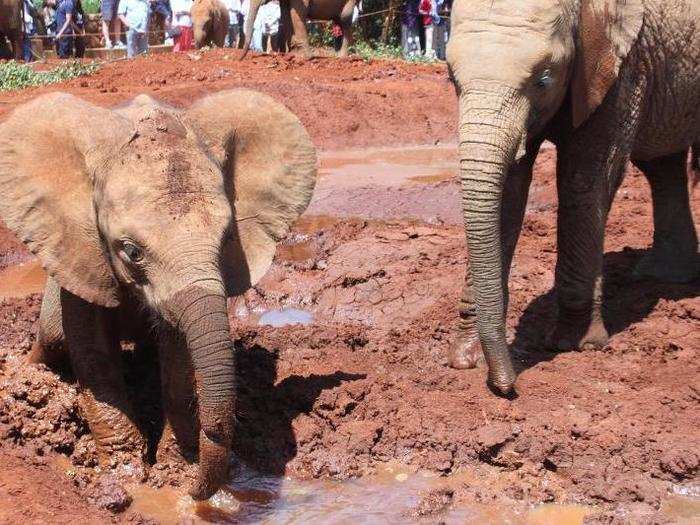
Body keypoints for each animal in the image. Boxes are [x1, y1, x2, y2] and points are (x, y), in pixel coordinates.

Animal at [0, 90, 314, 500]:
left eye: (227, 238)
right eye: (131, 251)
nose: (195, 492)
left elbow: (178, 351)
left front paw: (176, 467)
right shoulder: (80, 250)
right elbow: (93, 351)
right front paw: (126, 475)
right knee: (53, 339)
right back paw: (27, 373)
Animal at [446, 0, 696, 392]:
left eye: (544, 80)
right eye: (450, 78)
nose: (508, 385)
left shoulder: (620, 67)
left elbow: (584, 178)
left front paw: (576, 344)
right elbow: (509, 189)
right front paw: (466, 356)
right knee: (661, 164)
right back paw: (664, 275)